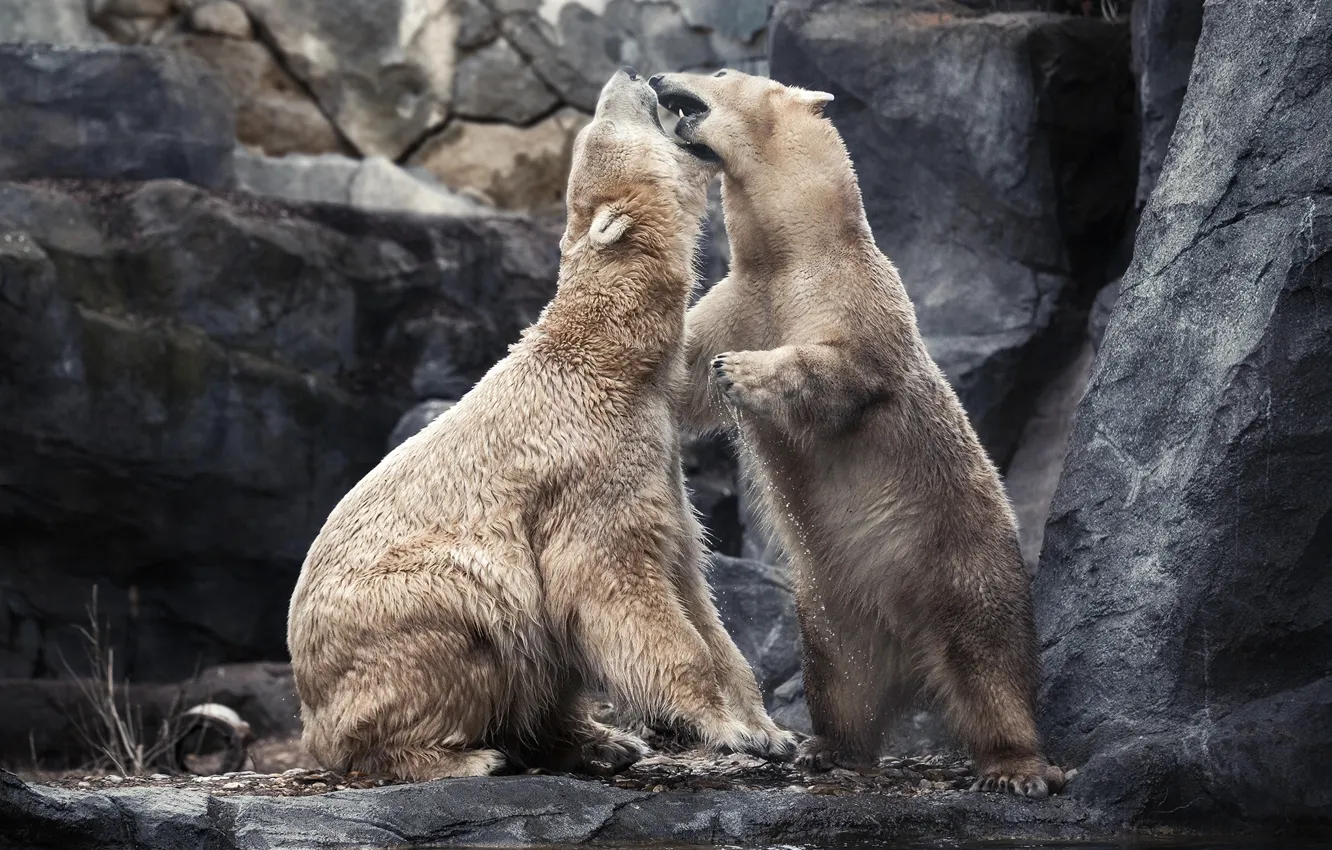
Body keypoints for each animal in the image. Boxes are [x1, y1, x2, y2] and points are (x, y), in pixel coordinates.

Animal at [286, 67, 796, 782]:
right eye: (602, 123)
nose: (632, 74)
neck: (604, 362)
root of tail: (310, 710)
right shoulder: (590, 470)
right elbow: (614, 582)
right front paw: (727, 727)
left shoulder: (657, 460)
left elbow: (689, 579)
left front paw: (770, 731)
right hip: (401, 613)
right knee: (474, 620)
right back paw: (466, 757)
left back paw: (599, 740)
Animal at [649, 68, 1066, 798]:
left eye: (721, 72)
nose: (657, 76)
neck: (796, 249)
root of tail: (912, 659)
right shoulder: (743, 296)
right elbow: (683, 372)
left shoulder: (855, 299)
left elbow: (842, 374)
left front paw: (744, 370)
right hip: (833, 610)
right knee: (842, 679)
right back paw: (826, 747)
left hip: (960, 559)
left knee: (990, 662)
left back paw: (1015, 767)